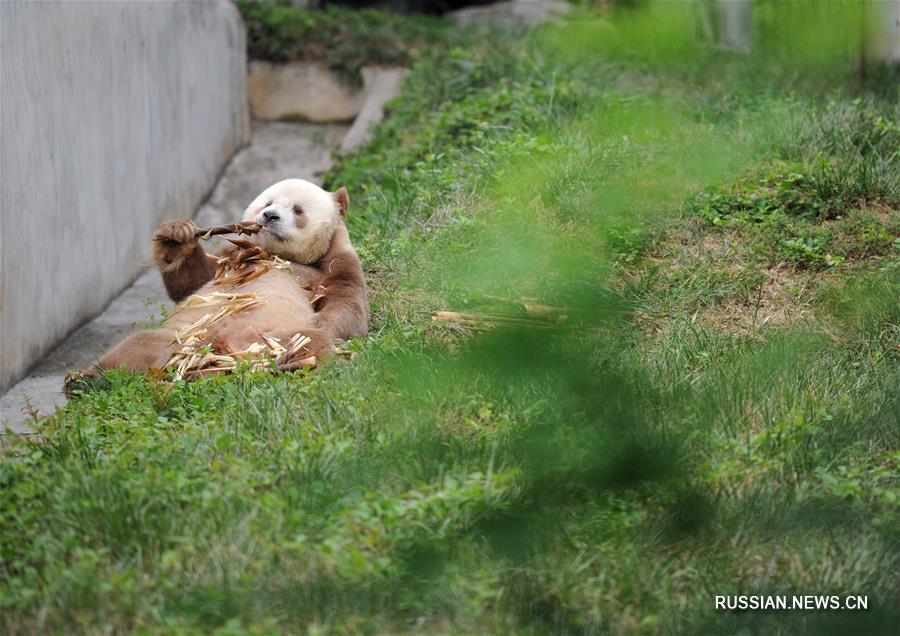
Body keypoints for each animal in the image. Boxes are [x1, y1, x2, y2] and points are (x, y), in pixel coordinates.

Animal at [68, 176, 368, 386]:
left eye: (297, 210)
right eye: (267, 202)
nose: (269, 216)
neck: (275, 255)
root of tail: (217, 352)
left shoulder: (333, 265)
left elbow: (347, 305)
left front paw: (326, 322)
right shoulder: (232, 258)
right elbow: (191, 281)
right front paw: (176, 235)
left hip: (272, 336)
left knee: (309, 343)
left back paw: (288, 365)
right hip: (181, 336)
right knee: (135, 348)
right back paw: (84, 381)